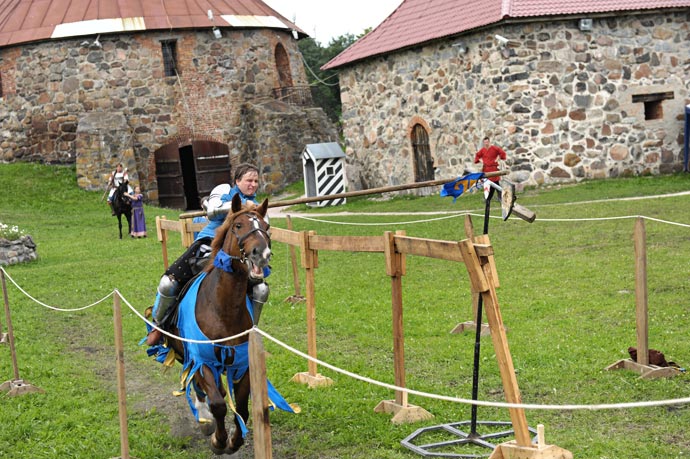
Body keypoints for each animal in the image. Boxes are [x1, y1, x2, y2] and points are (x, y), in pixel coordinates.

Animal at [164, 195, 272, 456]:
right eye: (238, 225)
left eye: (266, 227)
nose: (262, 254)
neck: (223, 309)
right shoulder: (202, 360)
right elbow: (218, 404)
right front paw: (219, 441)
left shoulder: (243, 364)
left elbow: (241, 407)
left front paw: (235, 441)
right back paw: (204, 419)